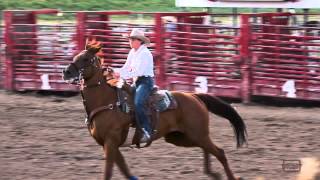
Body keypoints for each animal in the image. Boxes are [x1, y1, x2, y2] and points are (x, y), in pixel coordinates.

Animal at [62, 40, 248, 180]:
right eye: (76, 56)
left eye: (86, 59)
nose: (66, 72)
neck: (107, 102)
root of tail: (194, 97)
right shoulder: (108, 144)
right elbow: (124, 169)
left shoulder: (111, 141)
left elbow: (109, 172)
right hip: (181, 137)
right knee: (208, 149)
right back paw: (212, 173)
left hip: (196, 134)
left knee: (220, 152)